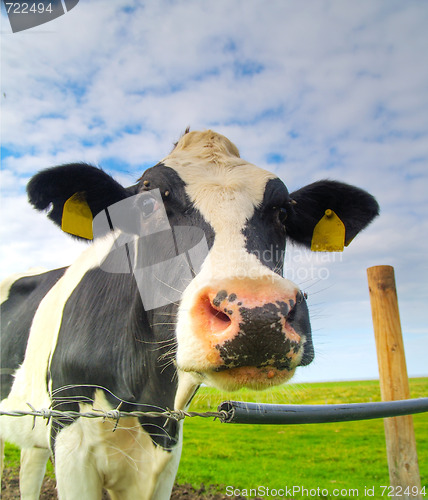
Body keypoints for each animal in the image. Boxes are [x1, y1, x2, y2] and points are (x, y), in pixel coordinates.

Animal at [0, 130, 378, 500]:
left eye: (283, 212)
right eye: (148, 204)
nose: (258, 315)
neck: (147, 398)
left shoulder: (167, 451)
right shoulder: (71, 438)